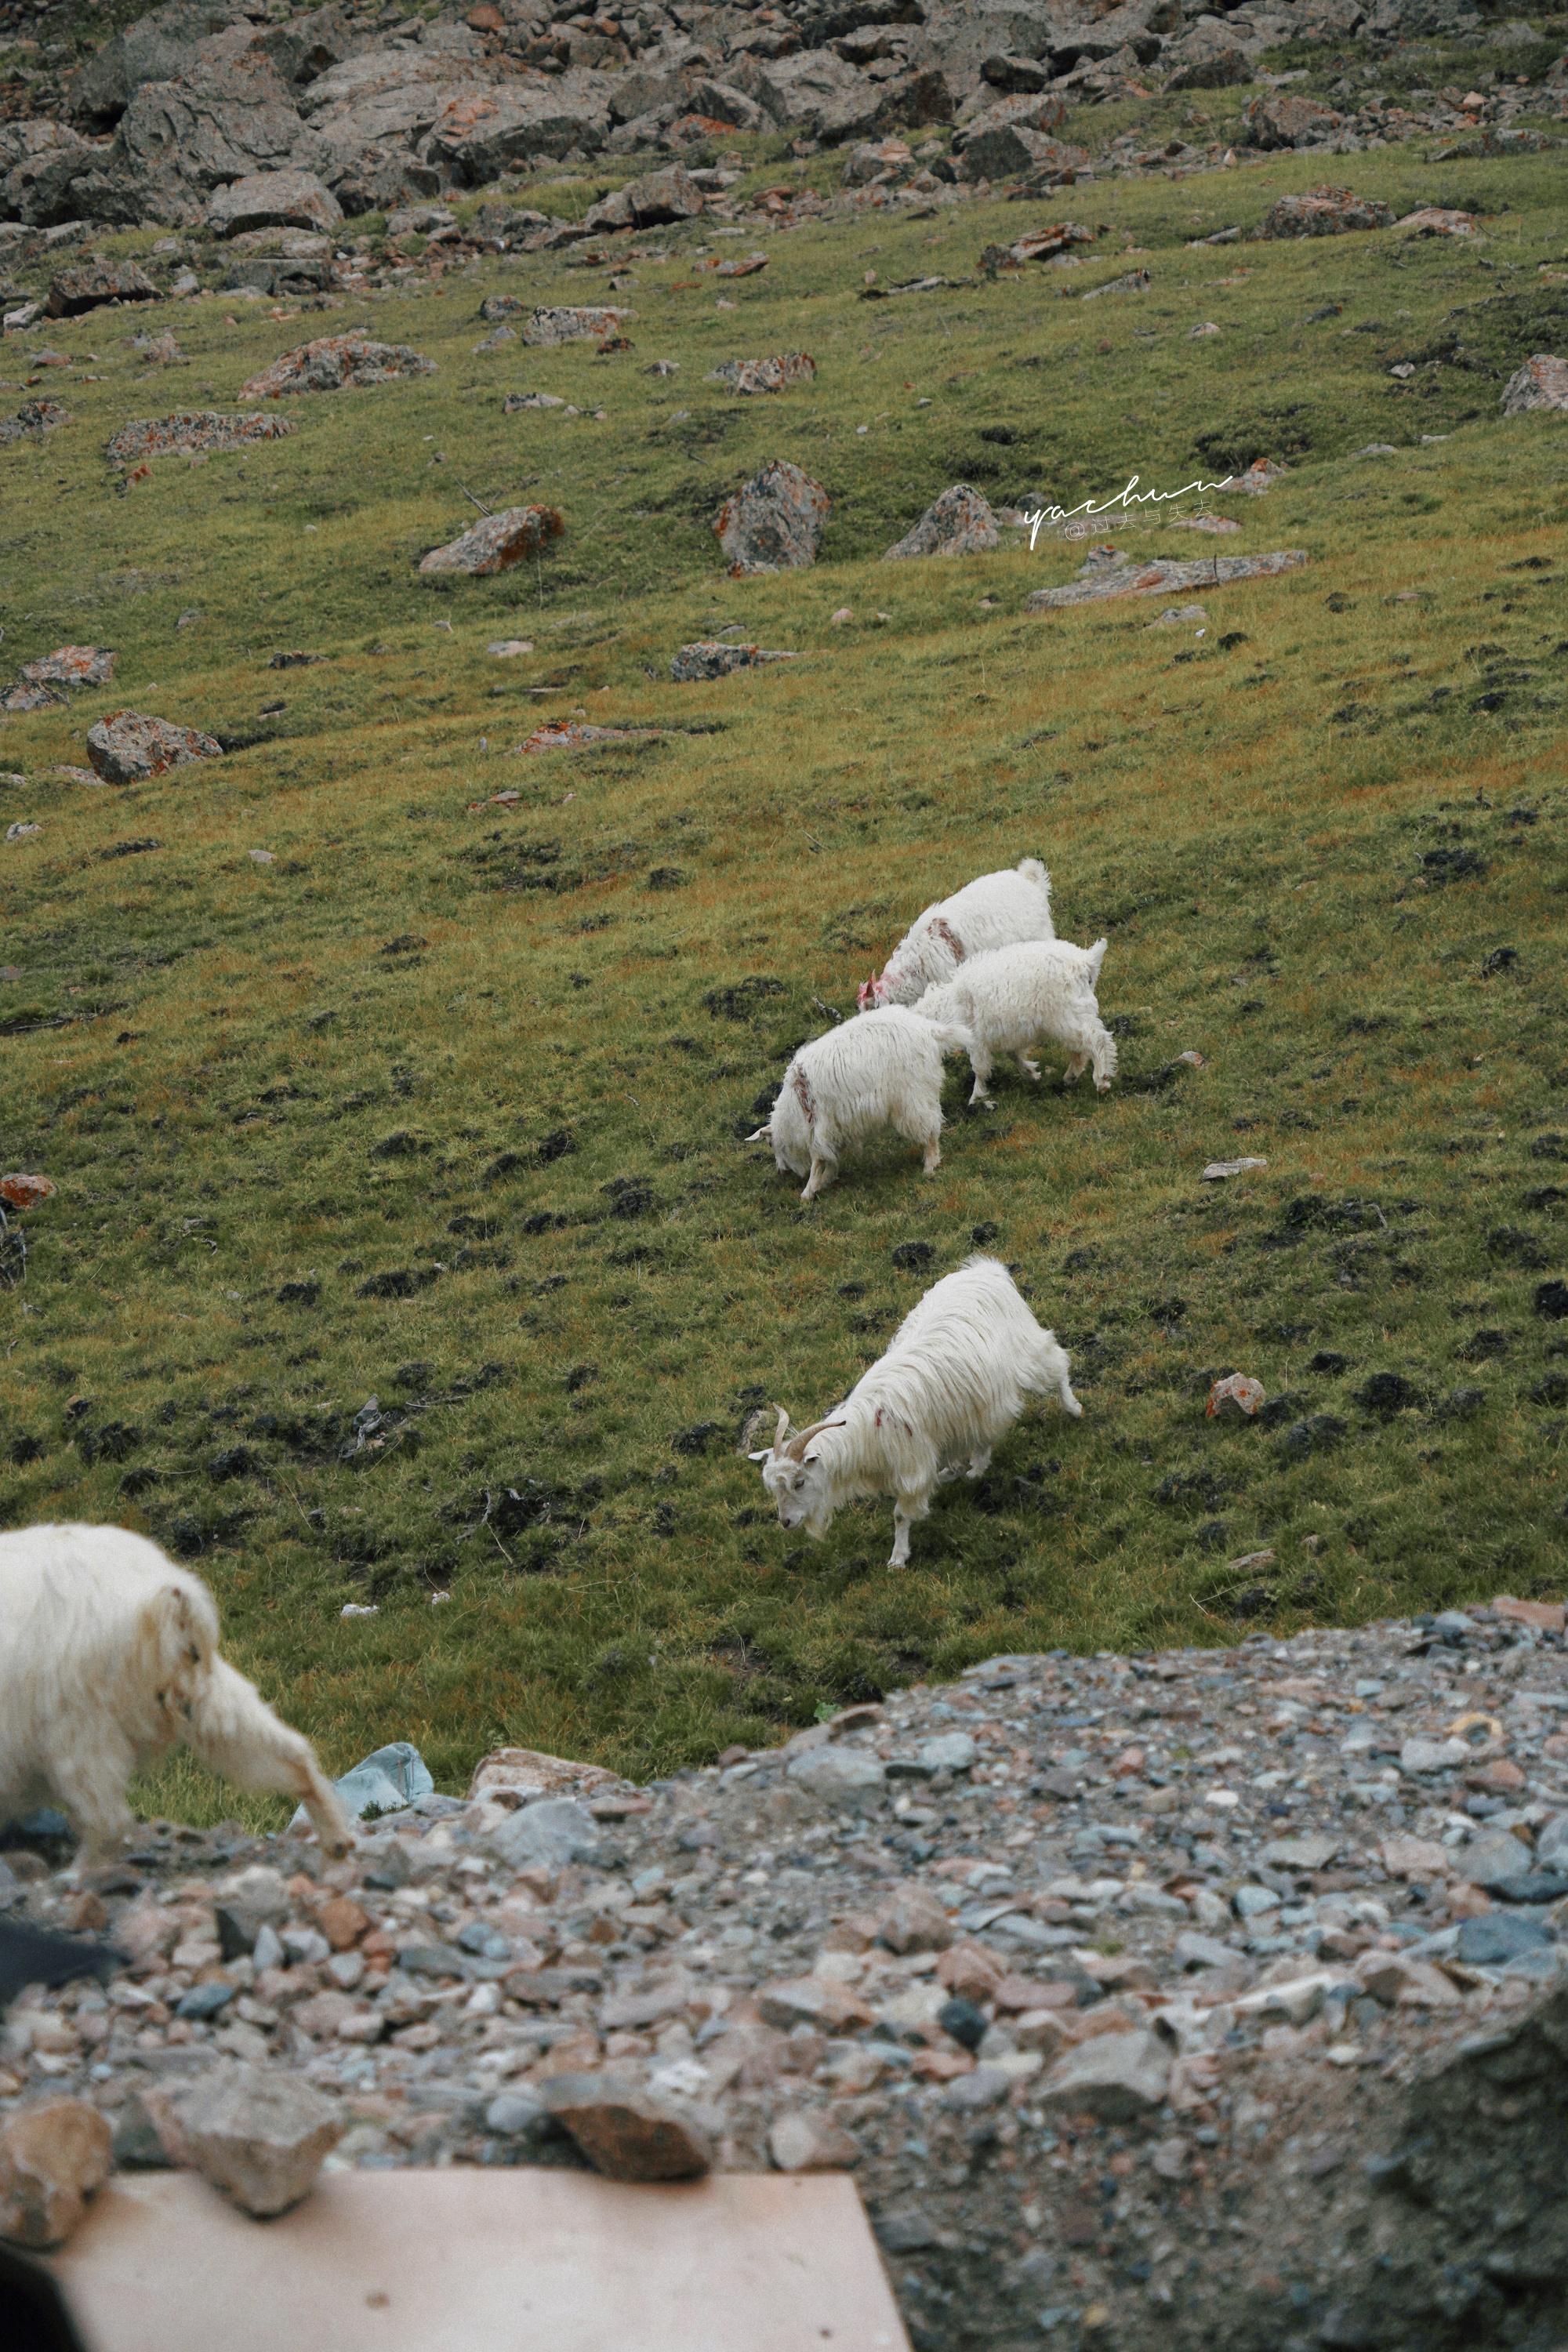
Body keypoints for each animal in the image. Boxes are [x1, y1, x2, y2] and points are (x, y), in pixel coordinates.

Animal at [0, 1524, 352, 1872]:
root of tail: (170, 1595)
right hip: (191, 1679)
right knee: (248, 1734)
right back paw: (335, 1836)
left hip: (76, 1696)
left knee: (96, 1790)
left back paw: (78, 1871)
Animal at [752, 1002, 982, 1204]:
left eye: (771, 1144)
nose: (781, 1172)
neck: (796, 1107)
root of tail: (930, 1030)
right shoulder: (834, 1127)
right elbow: (831, 1158)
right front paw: (827, 1179)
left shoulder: (819, 1128)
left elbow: (818, 1161)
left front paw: (809, 1191)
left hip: (913, 1096)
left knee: (930, 1130)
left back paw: (930, 1165)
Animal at [752, 1261, 1086, 1571]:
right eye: (774, 1488)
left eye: (799, 1483)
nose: (786, 1522)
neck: (867, 1430)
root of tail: (987, 1270)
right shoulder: (939, 1437)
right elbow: (946, 1468)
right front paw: (953, 1474)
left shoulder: (911, 1463)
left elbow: (902, 1514)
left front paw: (898, 1558)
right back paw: (977, 1467)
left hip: (1028, 1354)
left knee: (1057, 1363)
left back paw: (1074, 1408)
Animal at [912, 931, 1123, 1105]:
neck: (949, 1005)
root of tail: (1086, 962)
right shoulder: (1005, 1034)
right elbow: (1014, 1055)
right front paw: (1031, 1074)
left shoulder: (976, 1041)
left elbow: (979, 1069)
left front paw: (975, 1098)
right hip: (1075, 1015)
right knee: (1082, 1048)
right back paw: (1071, 1076)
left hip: (1068, 1016)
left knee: (1097, 1039)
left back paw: (1101, 1079)